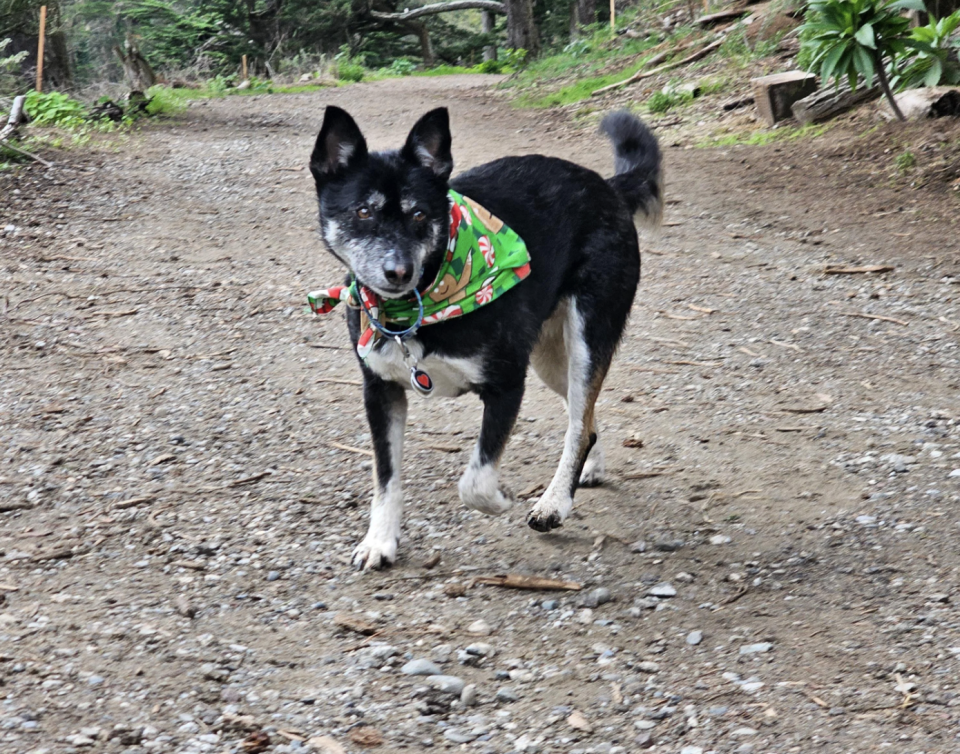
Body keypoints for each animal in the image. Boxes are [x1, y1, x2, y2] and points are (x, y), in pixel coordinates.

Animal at [312, 104, 664, 564]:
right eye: (363, 212)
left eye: (419, 214)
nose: (398, 271)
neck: (419, 306)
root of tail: (607, 186)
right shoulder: (380, 392)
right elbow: (386, 479)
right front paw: (379, 542)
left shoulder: (507, 385)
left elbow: (476, 481)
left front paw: (500, 500)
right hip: (552, 359)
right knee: (583, 419)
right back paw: (586, 469)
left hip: (587, 336)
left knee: (579, 420)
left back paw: (554, 503)